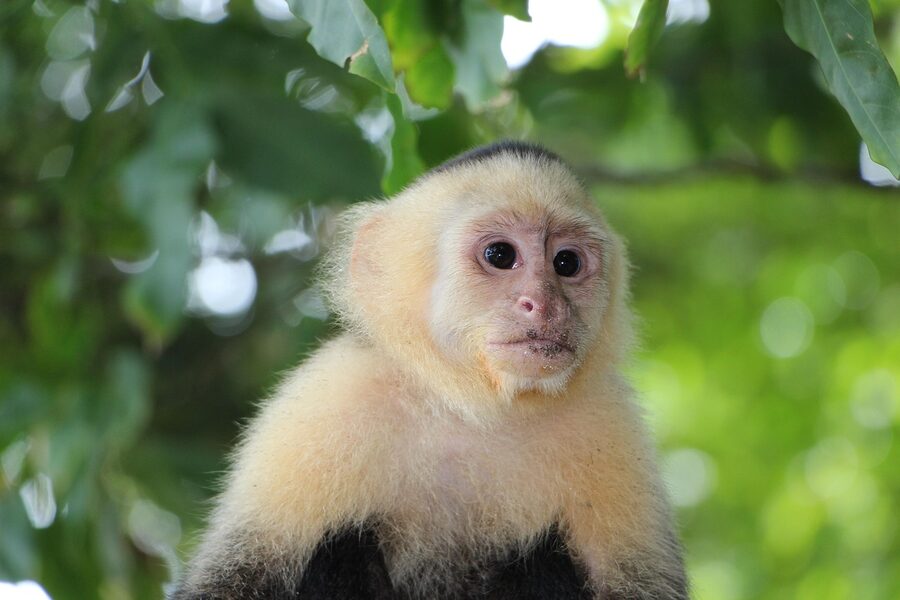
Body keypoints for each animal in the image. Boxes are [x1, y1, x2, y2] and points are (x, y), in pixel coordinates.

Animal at [171, 141, 688, 600]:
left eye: (567, 262)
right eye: (500, 255)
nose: (544, 304)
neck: (474, 411)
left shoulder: (611, 424)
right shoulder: (328, 400)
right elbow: (231, 582)